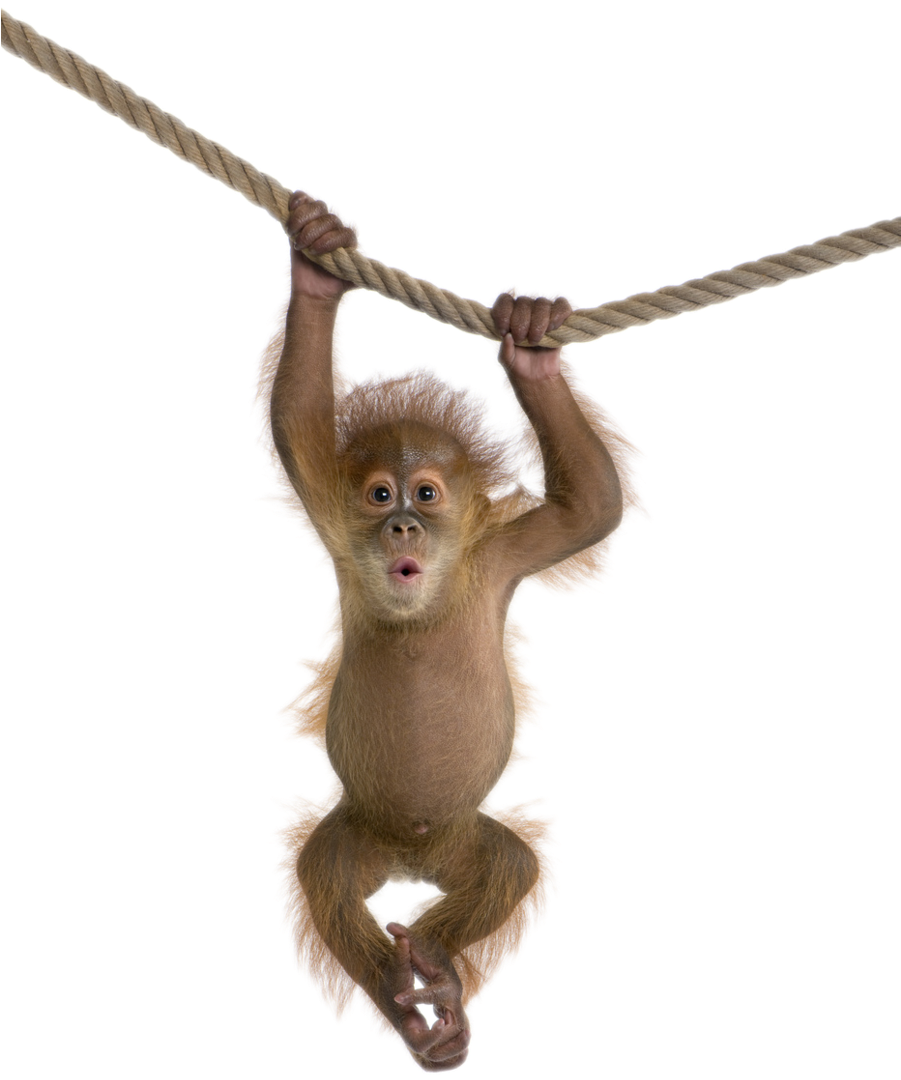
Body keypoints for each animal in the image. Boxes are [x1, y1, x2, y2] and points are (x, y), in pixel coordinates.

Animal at [262, 191, 641, 1072]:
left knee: (508, 866)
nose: (402, 525)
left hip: (462, 841)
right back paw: (405, 1003)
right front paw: (317, 265)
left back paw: (434, 966)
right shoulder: (333, 517)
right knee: (326, 878)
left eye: (427, 493)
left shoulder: (503, 555)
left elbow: (591, 506)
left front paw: (530, 346)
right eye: (378, 495)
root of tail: (411, 853)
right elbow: (296, 421)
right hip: (361, 831)